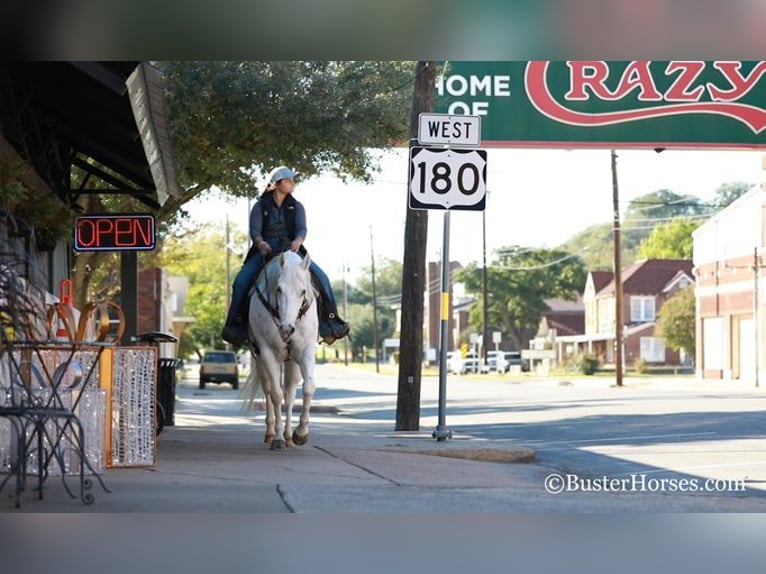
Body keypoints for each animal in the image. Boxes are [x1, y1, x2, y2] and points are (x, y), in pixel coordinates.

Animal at [244, 252, 320, 450]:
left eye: (303, 291)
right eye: (279, 289)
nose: (286, 330)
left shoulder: (305, 351)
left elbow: (308, 387)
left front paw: (300, 433)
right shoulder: (267, 353)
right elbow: (276, 395)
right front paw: (277, 438)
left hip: (291, 361)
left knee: (290, 393)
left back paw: (288, 436)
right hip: (260, 361)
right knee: (269, 390)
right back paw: (272, 433)